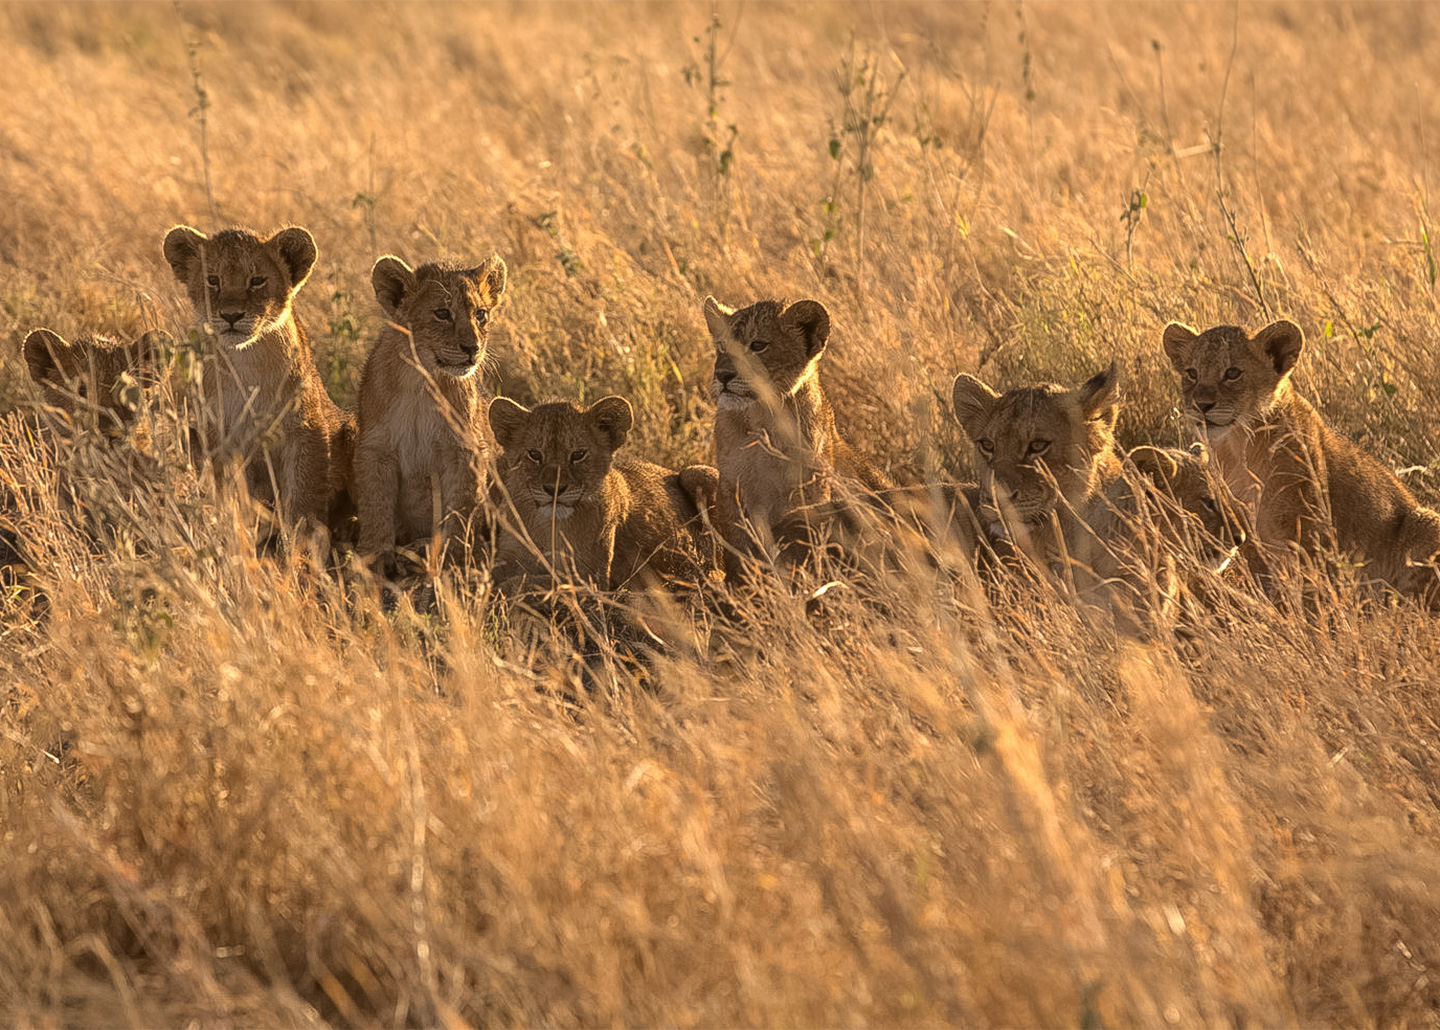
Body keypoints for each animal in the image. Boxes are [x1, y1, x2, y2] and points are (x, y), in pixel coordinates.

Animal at [163, 224, 355, 543]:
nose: (231, 315)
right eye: (212, 280)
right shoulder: (223, 439)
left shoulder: (305, 432)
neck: (248, 362)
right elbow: (234, 499)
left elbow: (303, 499)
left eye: (257, 281)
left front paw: (303, 549)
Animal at [353, 254, 507, 573]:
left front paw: (455, 559)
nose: (473, 348)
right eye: (442, 313)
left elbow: (461, 508)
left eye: (481, 314)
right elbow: (375, 504)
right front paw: (373, 558)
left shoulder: (465, 447)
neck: (422, 379)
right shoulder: (376, 446)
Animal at [487, 395, 716, 590]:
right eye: (534, 454)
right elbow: (490, 573)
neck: (549, 525)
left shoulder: (591, 578)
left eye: (578, 454)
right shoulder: (510, 556)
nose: (554, 489)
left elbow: (532, 582)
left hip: (697, 473)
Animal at [704, 296, 891, 582]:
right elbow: (739, 547)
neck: (760, 420)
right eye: (722, 347)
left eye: (758, 345)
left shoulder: (807, 488)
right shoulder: (731, 487)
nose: (722, 375)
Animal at [1163, 319, 1440, 605]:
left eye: (1232, 373)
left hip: (1425, 522)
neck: (1237, 447)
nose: (1201, 405)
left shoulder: (1308, 529)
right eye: (1191, 373)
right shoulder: (1246, 529)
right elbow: (1263, 579)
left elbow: (1310, 587)